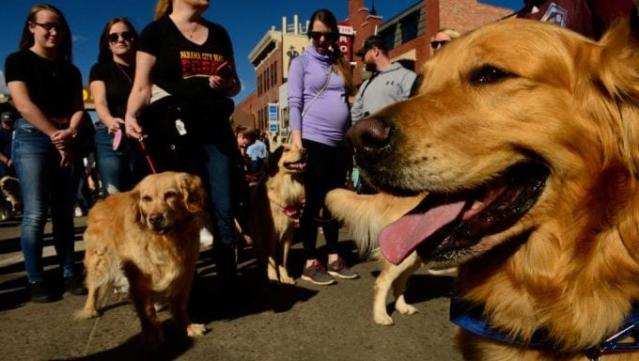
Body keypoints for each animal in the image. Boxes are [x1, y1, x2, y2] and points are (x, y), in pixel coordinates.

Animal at [76, 170, 208, 344]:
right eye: (147, 198)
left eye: (170, 195)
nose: (154, 218)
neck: (166, 241)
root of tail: (104, 200)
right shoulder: (138, 279)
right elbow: (147, 311)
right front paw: (152, 334)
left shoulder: (185, 273)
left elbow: (180, 306)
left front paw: (187, 327)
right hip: (100, 260)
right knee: (93, 286)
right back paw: (89, 309)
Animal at [242, 143, 308, 284]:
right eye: (286, 150)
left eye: (297, 146)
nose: (305, 151)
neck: (286, 185)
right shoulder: (269, 235)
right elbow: (271, 259)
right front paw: (273, 278)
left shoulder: (288, 235)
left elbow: (282, 260)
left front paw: (285, 277)